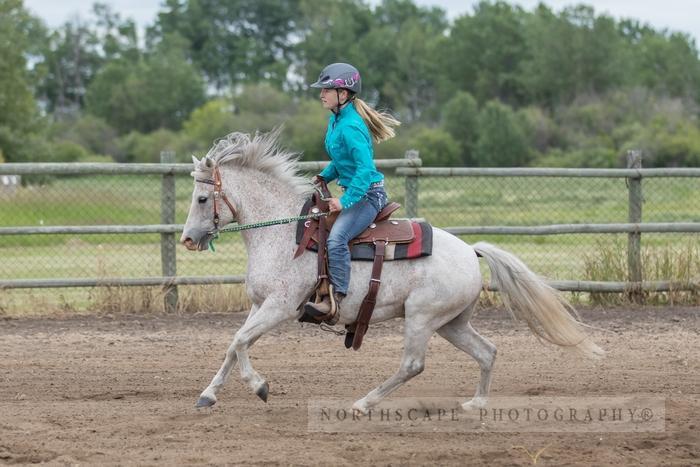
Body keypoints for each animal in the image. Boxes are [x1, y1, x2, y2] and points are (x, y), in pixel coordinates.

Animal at [180, 131, 600, 414]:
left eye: (201, 198)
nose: (187, 239)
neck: (284, 231)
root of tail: (471, 252)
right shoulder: (259, 304)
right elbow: (234, 345)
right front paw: (208, 395)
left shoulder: (281, 306)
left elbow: (239, 342)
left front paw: (260, 386)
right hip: (451, 323)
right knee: (487, 352)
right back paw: (476, 404)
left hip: (421, 317)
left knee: (413, 364)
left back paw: (364, 402)